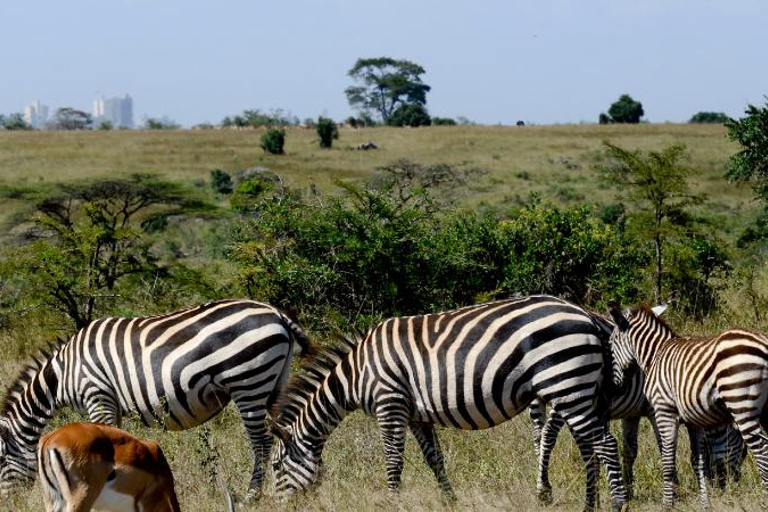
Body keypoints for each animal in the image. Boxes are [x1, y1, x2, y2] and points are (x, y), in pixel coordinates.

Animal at [0, 296, 312, 500]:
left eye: (1, 460)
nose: (10, 504)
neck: (64, 372)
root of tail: (277, 313)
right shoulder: (112, 405)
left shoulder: (97, 395)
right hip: (274, 381)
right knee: (286, 432)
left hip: (249, 381)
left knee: (262, 441)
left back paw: (252, 495)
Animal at [270, 294, 632, 510]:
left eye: (275, 467)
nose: (272, 506)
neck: (357, 374)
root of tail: (586, 315)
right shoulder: (416, 415)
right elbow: (435, 460)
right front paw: (450, 501)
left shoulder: (391, 404)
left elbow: (393, 461)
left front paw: (391, 502)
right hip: (573, 389)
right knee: (589, 448)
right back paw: (589, 505)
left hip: (566, 381)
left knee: (605, 444)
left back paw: (618, 503)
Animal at [608, 304, 764, 508]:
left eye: (610, 344)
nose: (616, 386)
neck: (655, 354)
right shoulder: (694, 421)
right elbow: (698, 460)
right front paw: (704, 503)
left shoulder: (663, 411)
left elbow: (667, 459)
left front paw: (668, 503)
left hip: (740, 402)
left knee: (761, 448)